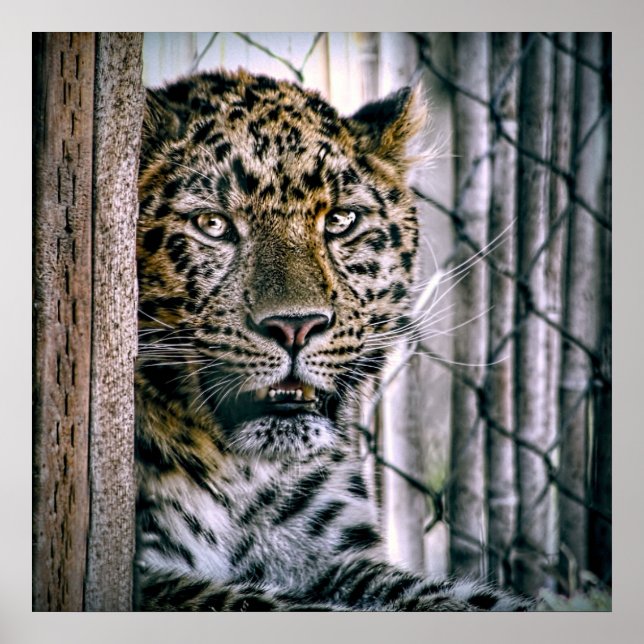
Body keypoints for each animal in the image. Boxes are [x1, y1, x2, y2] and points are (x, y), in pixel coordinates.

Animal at [134, 68, 532, 611]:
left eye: (340, 221)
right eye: (212, 225)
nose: (296, 327)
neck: (243, 480)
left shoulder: (332, 555)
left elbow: (445, 597)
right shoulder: (148, 576)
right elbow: (262, 603)